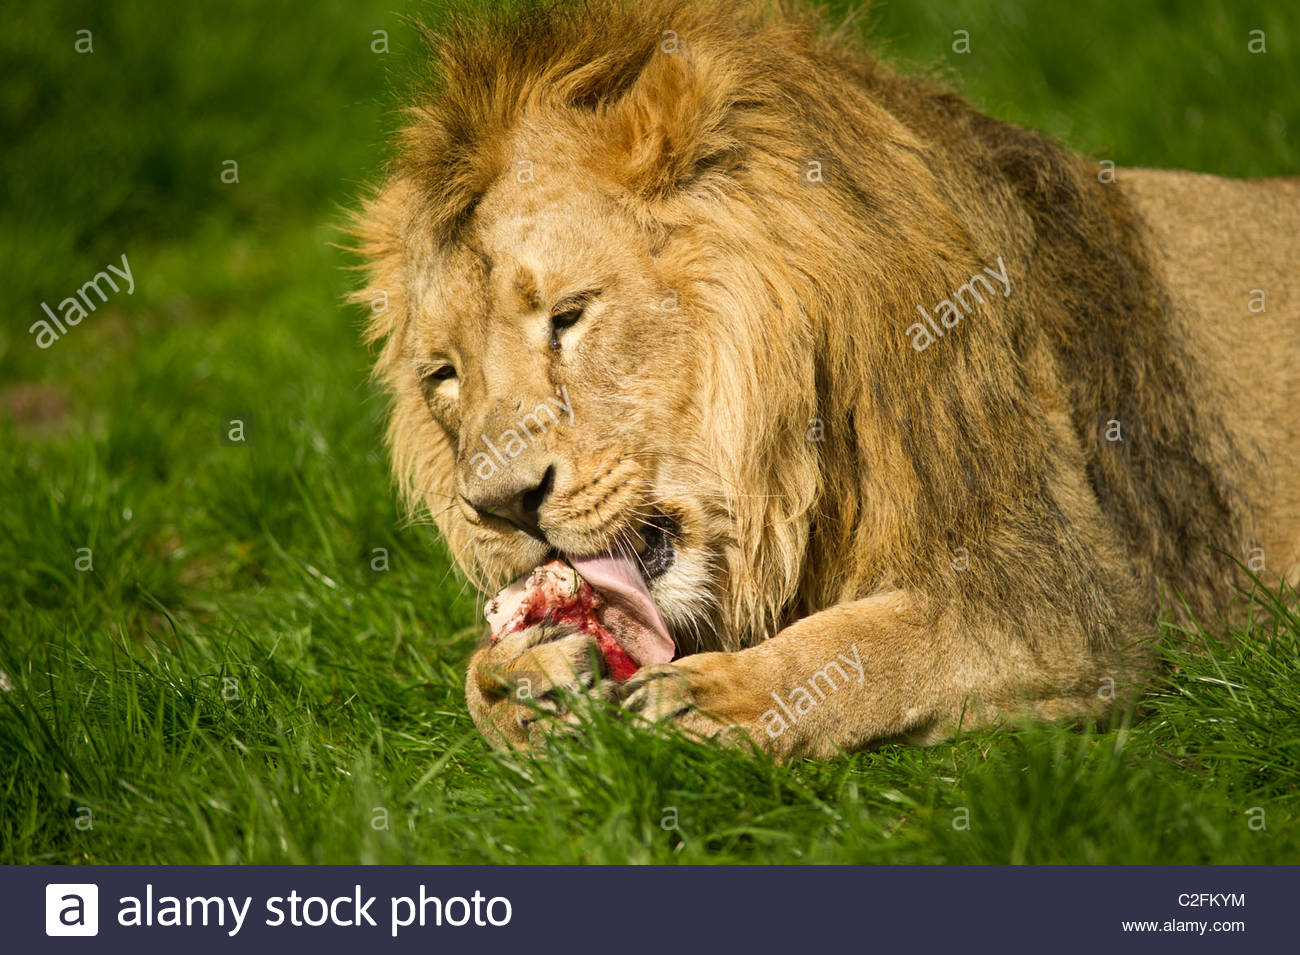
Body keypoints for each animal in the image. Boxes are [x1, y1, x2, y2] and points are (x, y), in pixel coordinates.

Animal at [351, 0, 1300, 760]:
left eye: (569, 315)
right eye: (443, 375)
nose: (502, 506)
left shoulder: (1069, 589)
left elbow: (882, 642)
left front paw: (720, 698)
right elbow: (471, 676)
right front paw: (521, 681)